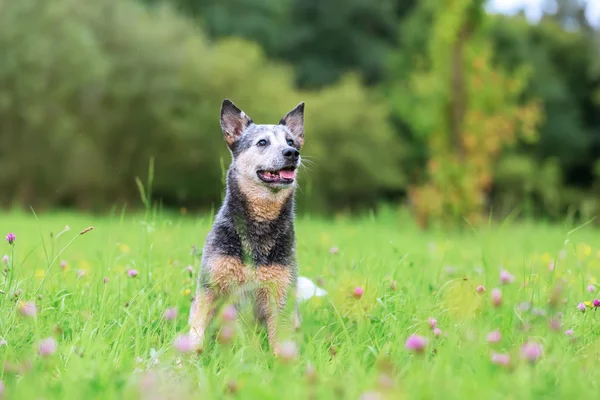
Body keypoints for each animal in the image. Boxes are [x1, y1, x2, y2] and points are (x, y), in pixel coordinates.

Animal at [189, 99, 304, 354]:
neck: (257, 230)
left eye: (290, 141)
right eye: (262, 142)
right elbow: (196, 332)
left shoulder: (279, 294)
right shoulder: (209, 288)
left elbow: (279, 342)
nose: (292, 153)